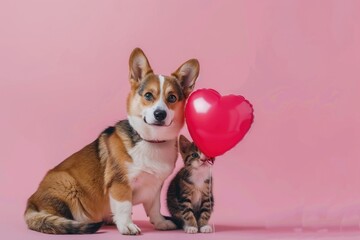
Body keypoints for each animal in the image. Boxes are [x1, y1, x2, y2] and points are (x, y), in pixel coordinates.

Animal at [24, 48, 200, 234]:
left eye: (172, 98)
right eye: (148, 95)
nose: (160, 114)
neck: (151, 141)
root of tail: (31, 203)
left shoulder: (155, 187)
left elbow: (154, 207)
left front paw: (160, 223)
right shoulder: (120, 184)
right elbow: (124, 207)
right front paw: (127, 225)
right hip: (67, 184)